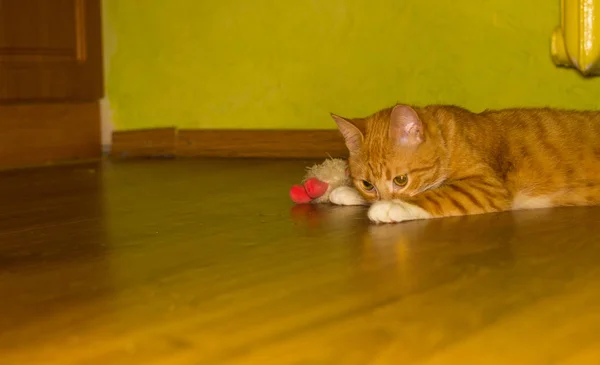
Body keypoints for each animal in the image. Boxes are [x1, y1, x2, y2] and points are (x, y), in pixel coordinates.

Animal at [328, 102, 600, 222]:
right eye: (367, 185)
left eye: (401, 180)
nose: (383, 198)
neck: (450, 138)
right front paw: (346, 191)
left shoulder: (486, 186)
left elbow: (440, 193)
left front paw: (391, 206)